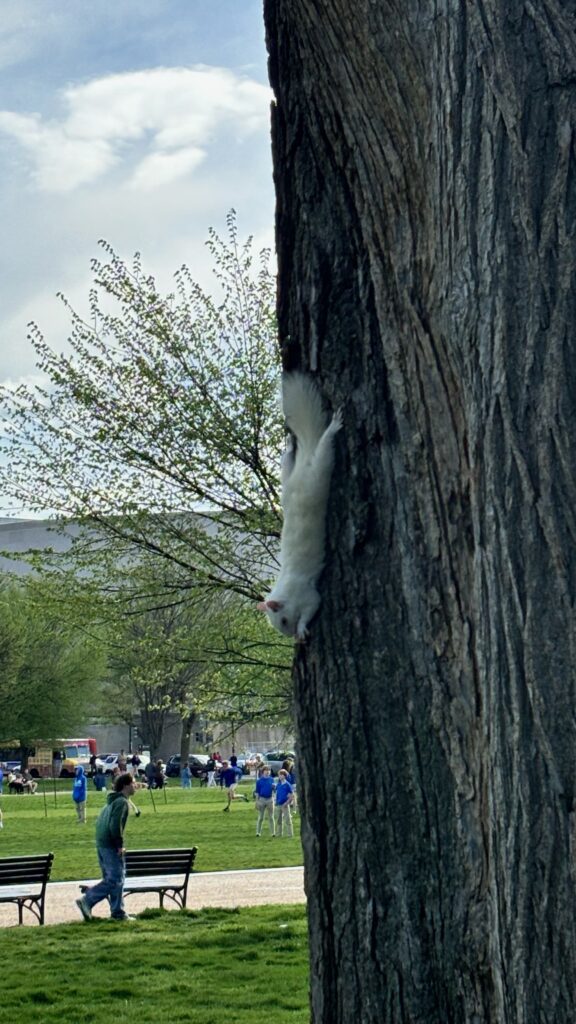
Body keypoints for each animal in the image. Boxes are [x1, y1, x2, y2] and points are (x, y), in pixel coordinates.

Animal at [257, 371, 342, 640]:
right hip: (288, 476)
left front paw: (303, 628)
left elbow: (312, 607)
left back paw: (333, 428)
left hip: (318, 475)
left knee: (324, 450)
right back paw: (291, 447)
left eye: (283, 620)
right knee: (287, 461)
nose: (291, 635)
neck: (286, 589)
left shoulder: (307, 594)